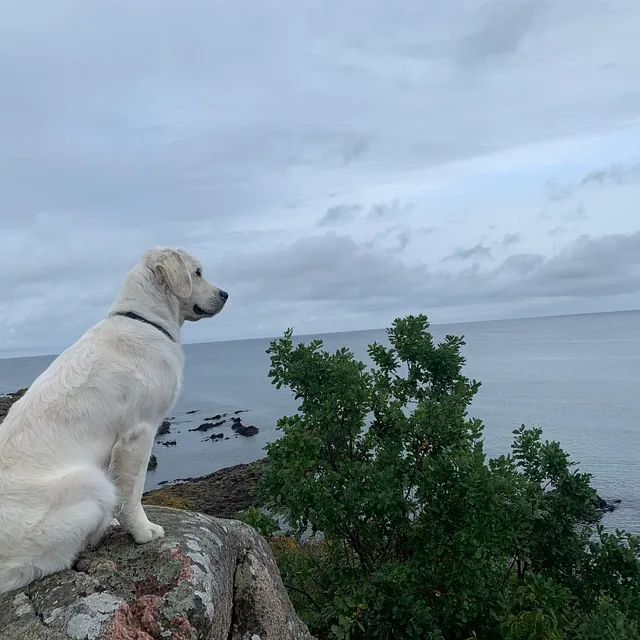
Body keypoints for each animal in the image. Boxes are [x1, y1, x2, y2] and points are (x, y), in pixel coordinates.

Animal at [0, 247, 228, 594]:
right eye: (198, 272)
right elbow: (133, 492)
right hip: (90, 481)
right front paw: (143, 532)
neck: (147, 321)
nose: (225, 294)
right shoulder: (139, 433)